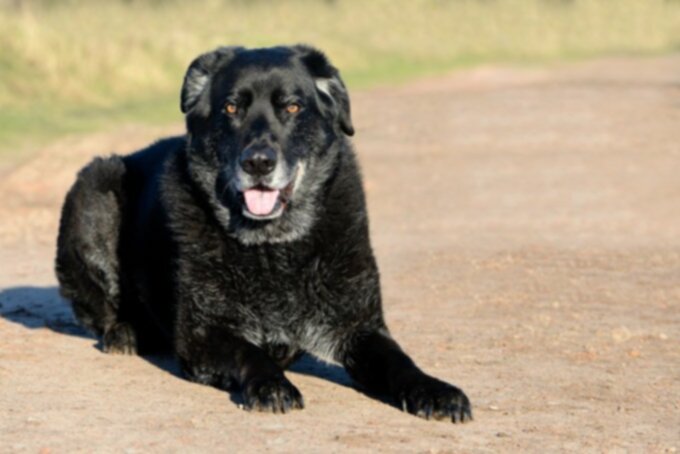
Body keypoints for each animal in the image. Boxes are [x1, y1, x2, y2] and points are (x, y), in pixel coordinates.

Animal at [55, 46, 470, 422]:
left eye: (292, 107)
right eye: (230, 108)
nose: (257, 162)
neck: (274, 246)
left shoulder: (361, 329)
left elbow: (400, 362)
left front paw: (434, 389)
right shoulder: (203, 333)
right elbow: (249, 352)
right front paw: (271, 383)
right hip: (94, 188)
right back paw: (126, 332)